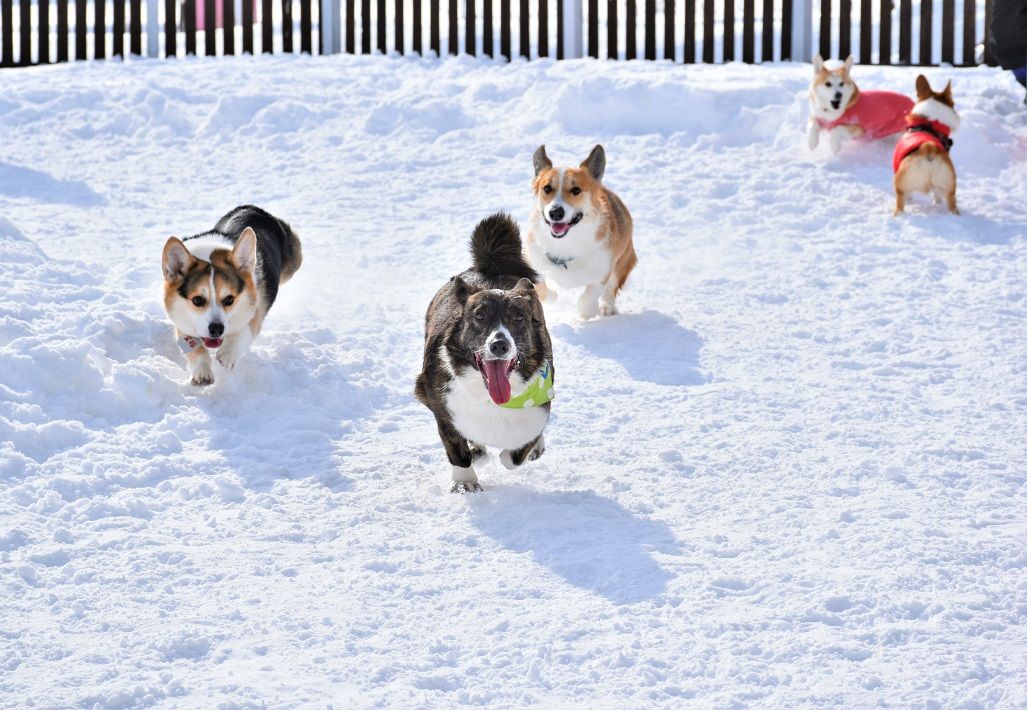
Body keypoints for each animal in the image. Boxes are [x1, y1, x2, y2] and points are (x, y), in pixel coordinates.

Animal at [158, 202, 299, 386]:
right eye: (197, 300)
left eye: (229, 299)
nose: (217, 329)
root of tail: (252, 207)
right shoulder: (183, 324)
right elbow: (197, 351)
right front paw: (202, 372)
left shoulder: (254, 309)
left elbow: (243, 331)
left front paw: (228, 354)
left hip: (293, 263)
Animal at [529, 144, 632, 318]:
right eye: (547, 188)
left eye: (576, 190)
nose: (556, 213)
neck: (565, 243)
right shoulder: (533, 260)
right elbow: (542, 289)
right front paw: (553, 297)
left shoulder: (603, 271)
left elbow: (587, 300)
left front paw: (590, 311)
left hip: (622, 261)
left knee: (611, 288)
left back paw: (606, 307)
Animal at [891, 74, 961, 216]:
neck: (930, 123)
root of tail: (928, 148)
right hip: (949, 188)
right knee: (948, 202)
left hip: (900, 186)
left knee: (901, 202)